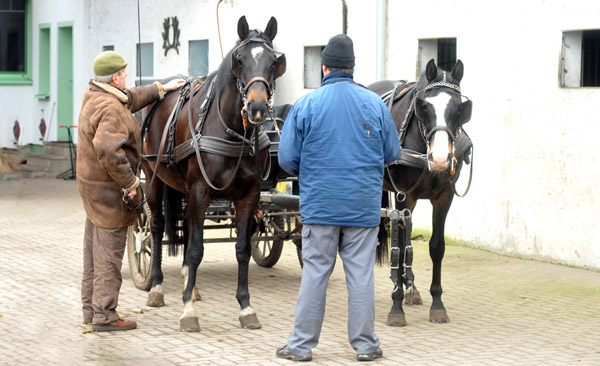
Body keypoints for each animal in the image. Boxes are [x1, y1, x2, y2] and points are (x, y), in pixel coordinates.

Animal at [143, 16, 288, 332]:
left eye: (274, 62)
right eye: (239, 59)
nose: (257, 108)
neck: (232, 131)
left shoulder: (249, 195)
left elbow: (242, 249)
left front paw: (246, 307)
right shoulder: (201, 190)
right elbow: (197, 248)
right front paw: (188, 311)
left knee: (186, 229)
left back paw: (190, 283)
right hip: (153, 178)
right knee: (158, 226)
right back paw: (157, 287)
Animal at [370, 59, 474, 326]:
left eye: (459, 109)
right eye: (424, 106)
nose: (439, 158)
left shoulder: (444, 196)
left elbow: (436, 246)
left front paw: (437, 304)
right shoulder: (404, 195)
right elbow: (399, 248)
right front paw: (396, 307)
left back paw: (410, 286)